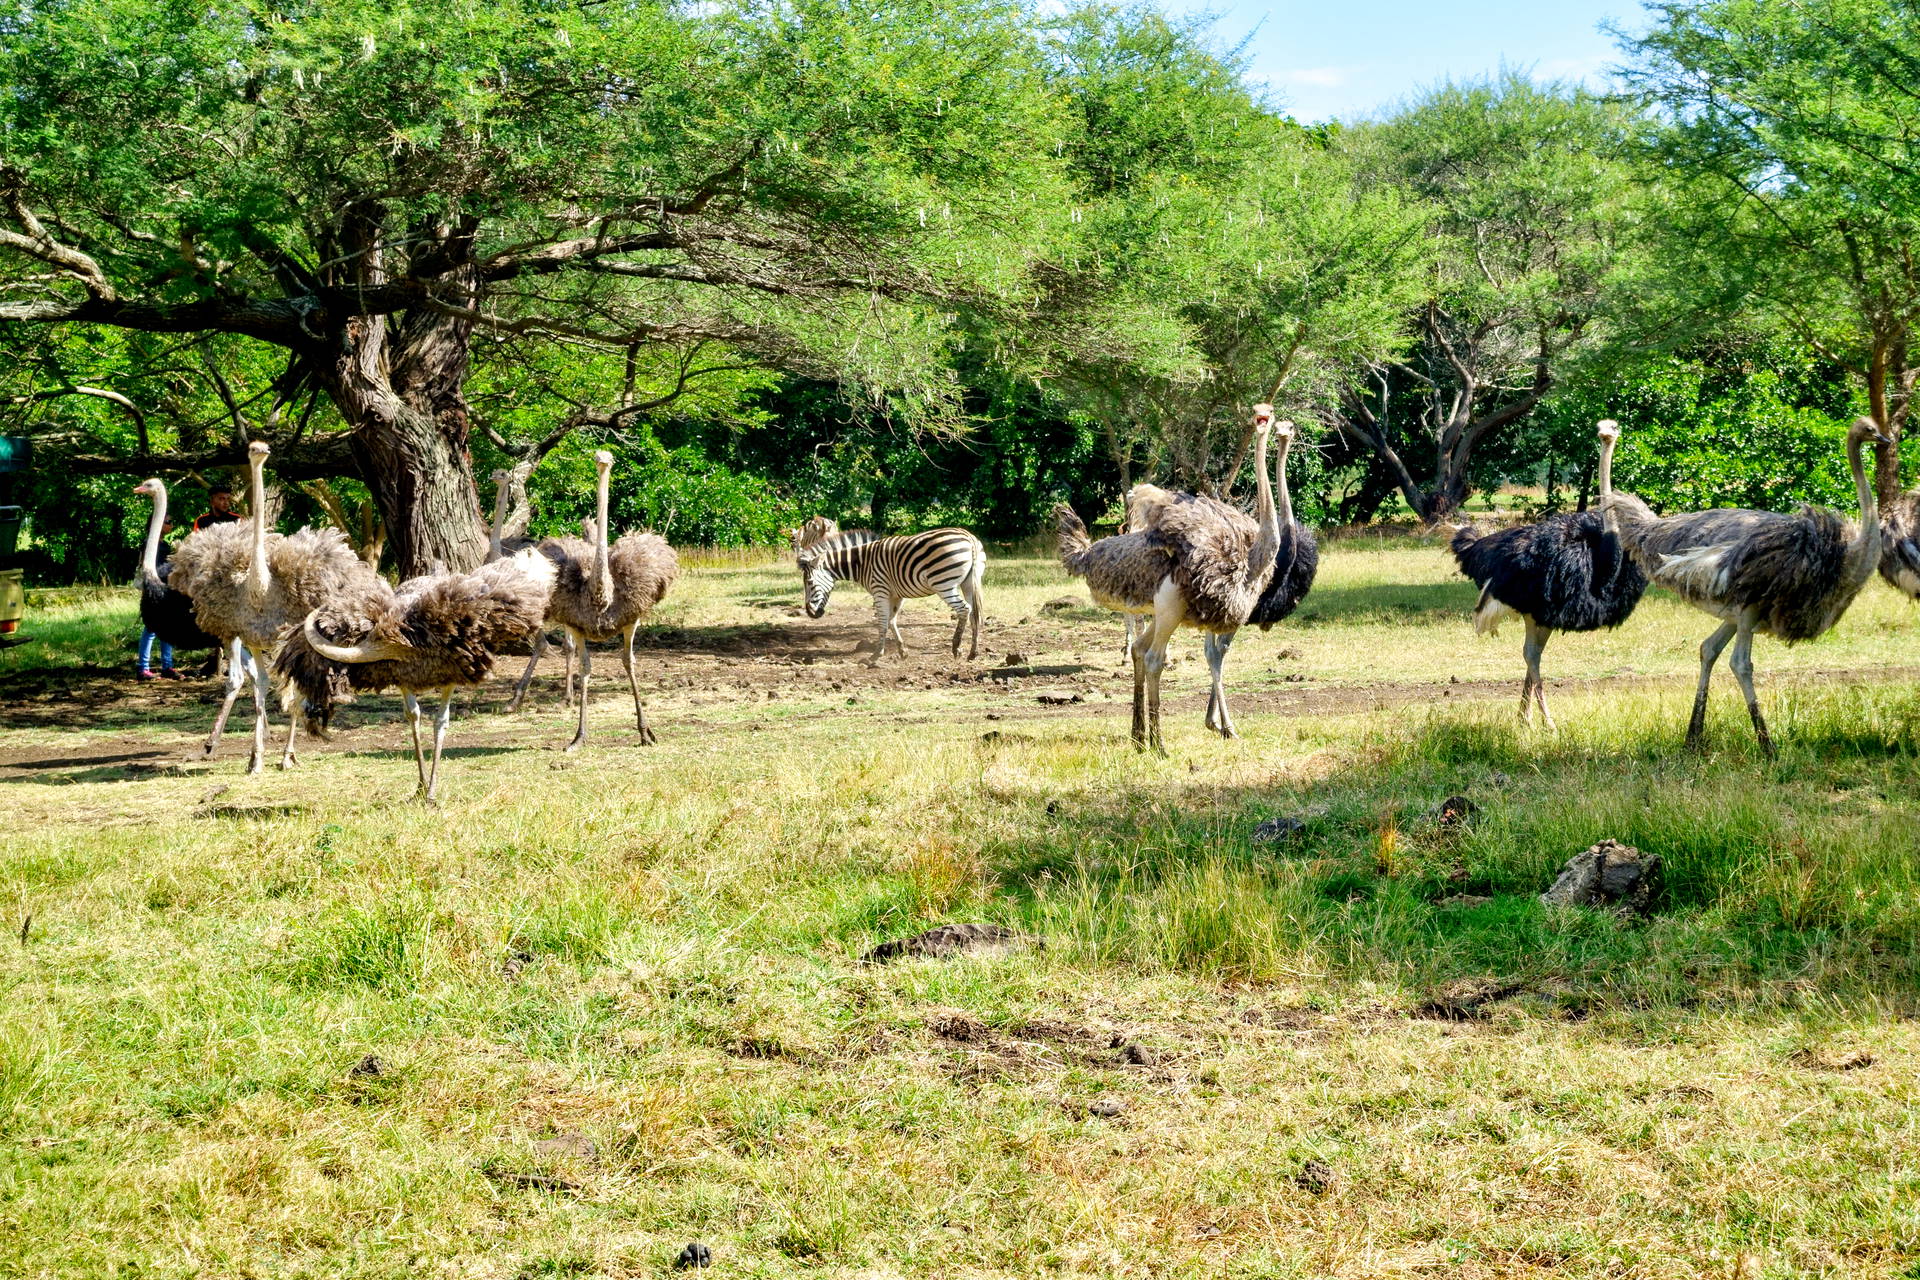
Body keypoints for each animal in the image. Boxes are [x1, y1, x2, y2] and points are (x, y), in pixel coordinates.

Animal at [795, 527, 986, 664]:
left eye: (810, 583)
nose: (811, 613)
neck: (862, 563)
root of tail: (969, 538)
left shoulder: (880, 591)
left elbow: (882, 623)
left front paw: (875, 656)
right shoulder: (896, 594)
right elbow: (892, 620)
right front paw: (902, 652)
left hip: (943, 583)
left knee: (964, 610)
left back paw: (956, 648)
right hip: (969, 582)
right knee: (975, 615)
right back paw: (973, 653)